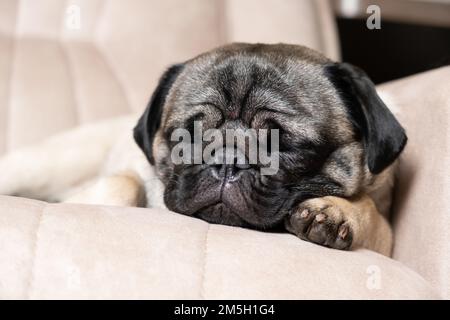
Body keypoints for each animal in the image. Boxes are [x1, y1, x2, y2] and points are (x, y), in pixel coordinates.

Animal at [0, 43, 408, 256]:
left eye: (282, 143)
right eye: (188, 136)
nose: (227, 161)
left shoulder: (385, 238)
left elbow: (372, 214)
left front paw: (338, 211)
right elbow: (123, 184)